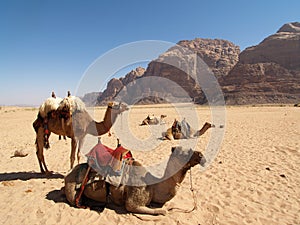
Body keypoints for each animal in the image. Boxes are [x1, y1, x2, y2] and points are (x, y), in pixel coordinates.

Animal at [64, 145, 206, 215]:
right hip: (72, 187)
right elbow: (162, 211)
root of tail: (69, 174)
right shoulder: (133, 202)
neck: (153, 185)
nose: (201, 155)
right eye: (183, 153)